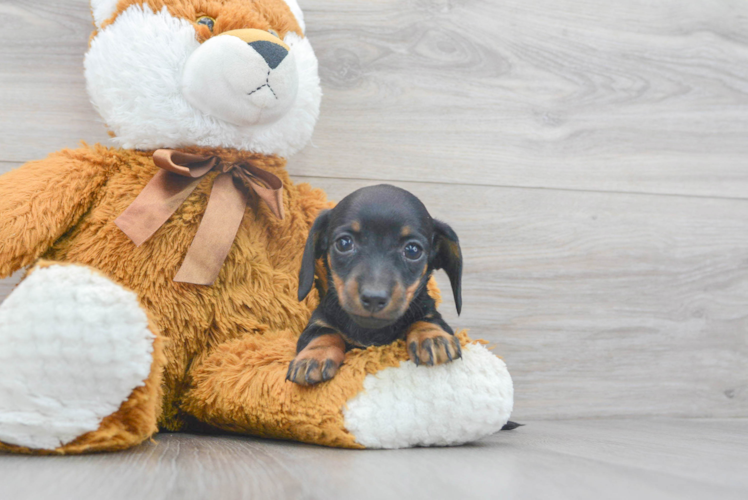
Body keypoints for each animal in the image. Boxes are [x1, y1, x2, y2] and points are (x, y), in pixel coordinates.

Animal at [286, 184, 462, 386]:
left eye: (412, 250)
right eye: (344, 243)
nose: (374, 298)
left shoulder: (430, 312)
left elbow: (425, 320)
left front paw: (432, 337)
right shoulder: (318, 320)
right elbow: (324, 333)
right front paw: (315, 355)